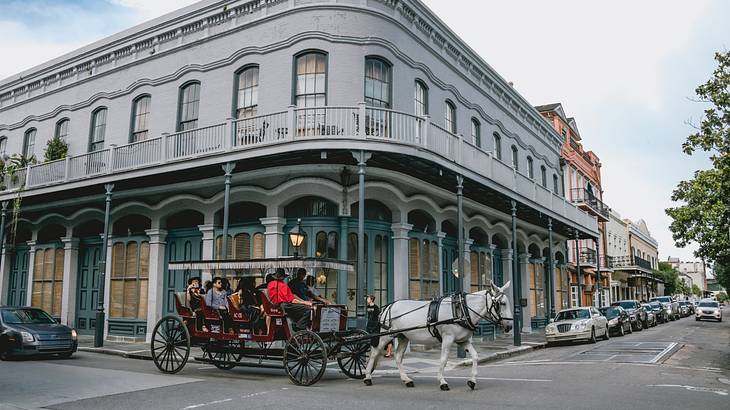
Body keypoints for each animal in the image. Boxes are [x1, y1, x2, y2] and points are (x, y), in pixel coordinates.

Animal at [360, 282, 510, 390]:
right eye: (502, 303)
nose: (509, 326)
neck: (462, 310)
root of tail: (389, 306)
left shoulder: (463, 341)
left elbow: (475, 356)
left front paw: (472, 381)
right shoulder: (448, 338)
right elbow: (443, 360)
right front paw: (442, 382)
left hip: (403, 336)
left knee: (397, 357)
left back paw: (407, 380)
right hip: (386, 336)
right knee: (375, 352)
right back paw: (367, 377)